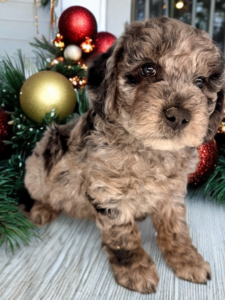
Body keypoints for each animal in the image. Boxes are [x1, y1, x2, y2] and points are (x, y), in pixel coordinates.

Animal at [23, 17, 225, 294]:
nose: (179, 116)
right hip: (40, 163)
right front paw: (135, 269)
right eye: (148, 69)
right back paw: (42, 209)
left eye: (200, 82)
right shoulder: (107, 192)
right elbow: (122, 235)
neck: (149, 149)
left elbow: (176, 227)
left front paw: (187, 259)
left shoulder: (172, 192)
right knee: (42, 190)